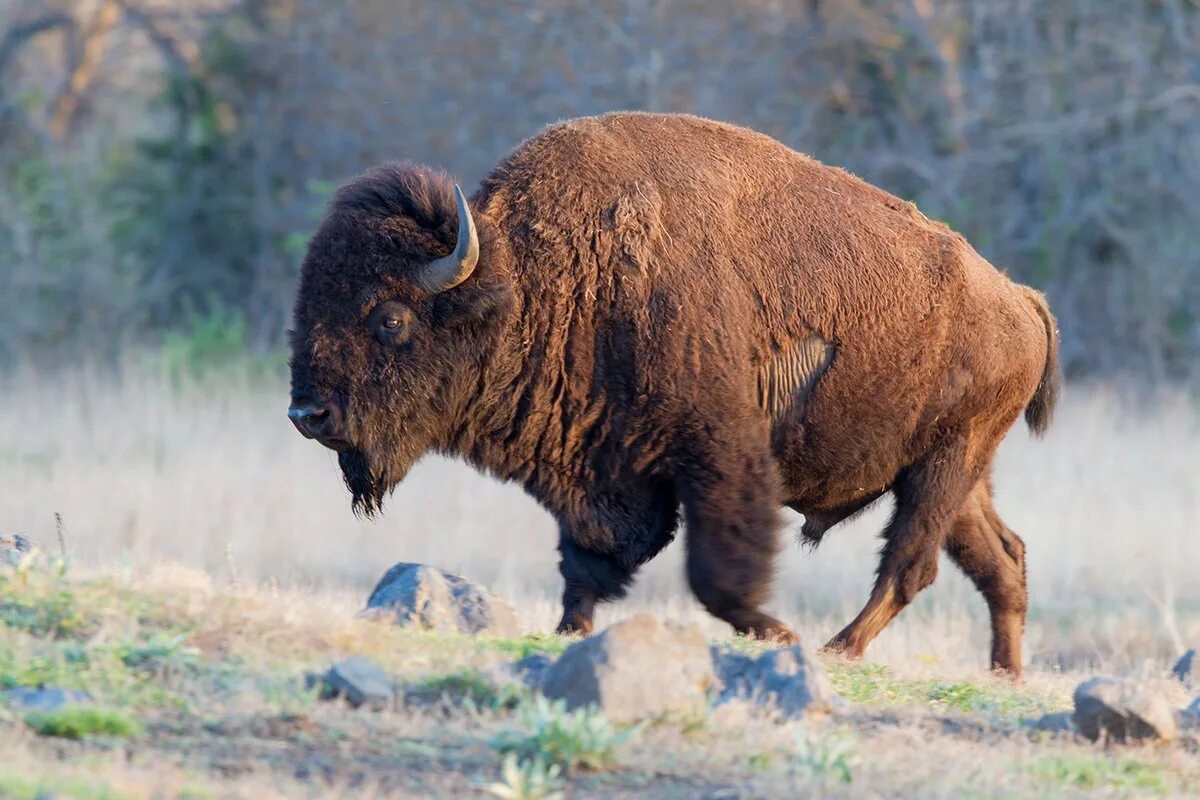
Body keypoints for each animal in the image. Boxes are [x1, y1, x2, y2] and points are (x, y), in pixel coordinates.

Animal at [288, 110, 1060, 676]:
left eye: (389, 317)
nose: (307, 413)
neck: (534, 281)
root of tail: (1019, 298)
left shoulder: (718, 458)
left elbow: (716, 570)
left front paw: (777, 634)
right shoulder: (603, 469)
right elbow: (587, 561)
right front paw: (567, 633)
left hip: (946, 463)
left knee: (910, 564)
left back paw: (839, 648)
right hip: (951, 474)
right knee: (1002, 558)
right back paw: (1005, 674)